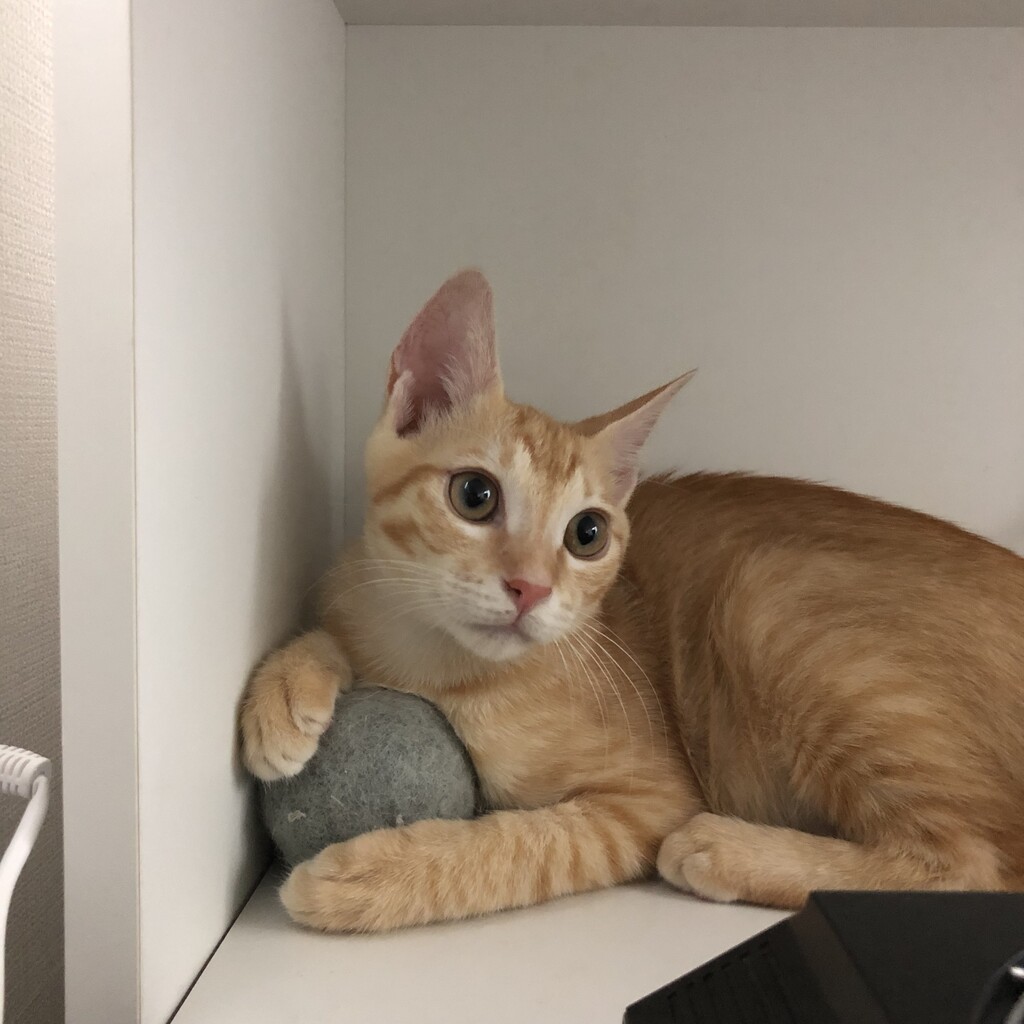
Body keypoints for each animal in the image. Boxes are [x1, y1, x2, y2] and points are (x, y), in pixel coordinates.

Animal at [240, 269, 1024, 933]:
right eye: (474, 494)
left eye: (587, 534)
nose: (531, 588)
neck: (433, 659)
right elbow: (329, 628)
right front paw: (283, 694)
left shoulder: (648, 800)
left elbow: (523, 845)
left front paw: (372, 875)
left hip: (766, 596)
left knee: (977, 866)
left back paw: (728, 849)